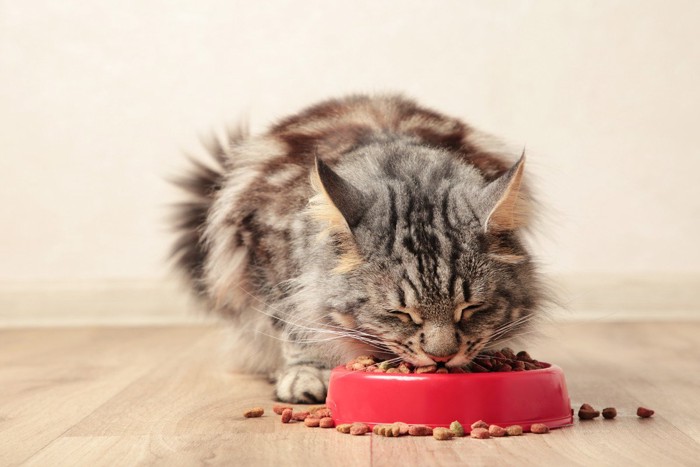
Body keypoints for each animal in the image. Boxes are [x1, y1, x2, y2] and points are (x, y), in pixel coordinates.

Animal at [171, 93, 548, 404]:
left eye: (470, 309)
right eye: (401, 314)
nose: (441, 358)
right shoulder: (266, 249)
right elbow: (295, 323)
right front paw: (307, 373)